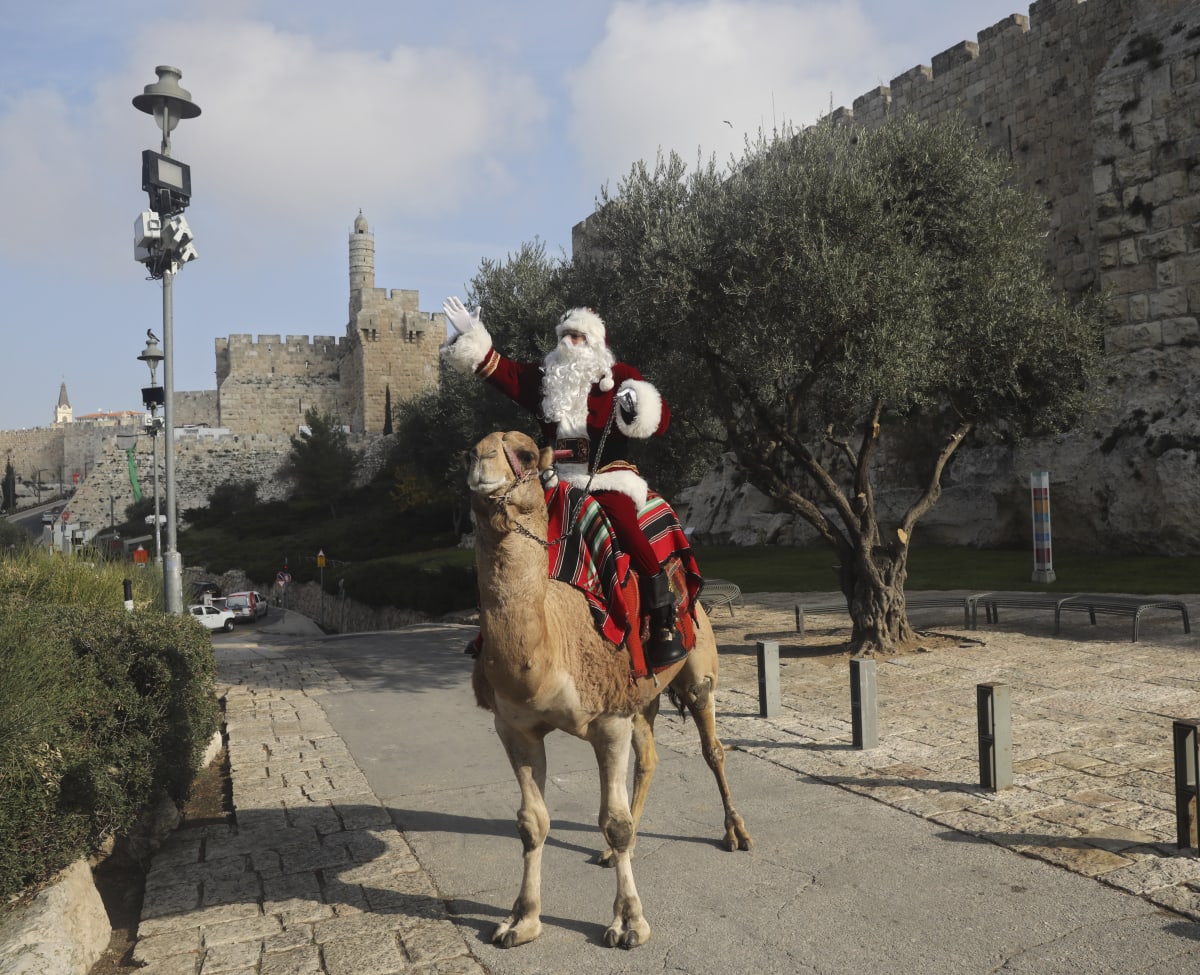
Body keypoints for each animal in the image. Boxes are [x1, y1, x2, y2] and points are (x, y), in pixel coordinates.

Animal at [465, 429, 748, 946]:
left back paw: (735, 832)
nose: (481, 460)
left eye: (526, 455)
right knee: (649, 757)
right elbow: (532, 823)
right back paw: (609, 853)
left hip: (698, 669)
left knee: (712, 748)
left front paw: (629, 923)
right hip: (642, 697)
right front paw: (520, 920)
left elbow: (613, 823)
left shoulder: (609, 721)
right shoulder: (514, 726)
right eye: (465, 452)